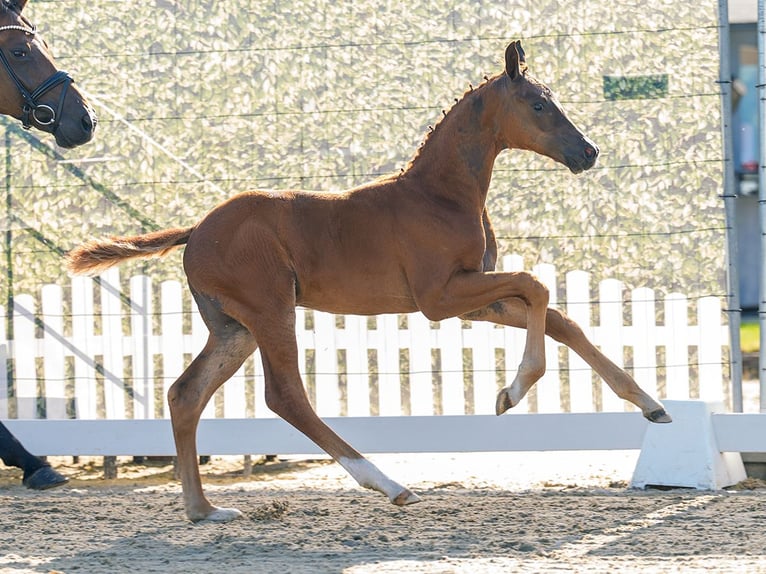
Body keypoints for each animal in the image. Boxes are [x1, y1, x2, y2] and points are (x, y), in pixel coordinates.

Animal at [67, 41, 671, 522]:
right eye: (540, 104)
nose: (588, 152)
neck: (440, 195)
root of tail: (196, 231)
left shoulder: (469, 295)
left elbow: (559, 317)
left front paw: (651, 405)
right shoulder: (439, 298)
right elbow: (538, 286)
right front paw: (510, 392)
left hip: (233, 329)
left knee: (185, 394)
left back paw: (204, 510)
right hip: (269, 311)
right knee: (285, 395)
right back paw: (390, 484)